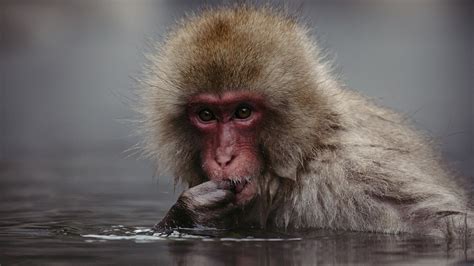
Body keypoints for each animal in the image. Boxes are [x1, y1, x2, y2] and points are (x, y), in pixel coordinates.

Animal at [135, 5, 472, 237]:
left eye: (243, 112)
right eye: (206, 115)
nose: (224, 157)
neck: (303, 157)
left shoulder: (359, 179)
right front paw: (191, 211)